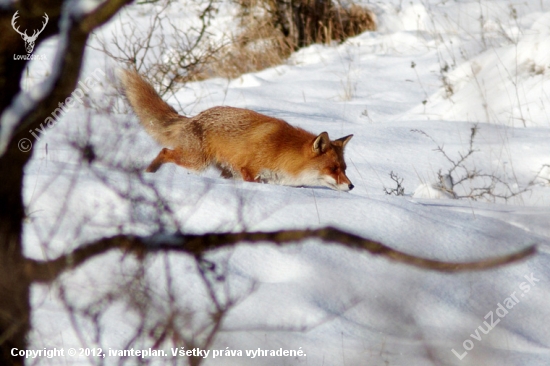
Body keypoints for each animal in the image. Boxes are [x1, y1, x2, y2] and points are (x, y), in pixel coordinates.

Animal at [118, 70, 356, 193]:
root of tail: (193, 117)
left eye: (344, 168)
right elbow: (251, 180)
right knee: (165, 152)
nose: (352, 186)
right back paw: (149, 173)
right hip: (195, 162)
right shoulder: (247, 169)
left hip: (218, 169)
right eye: (333, 168)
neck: (284, 152)